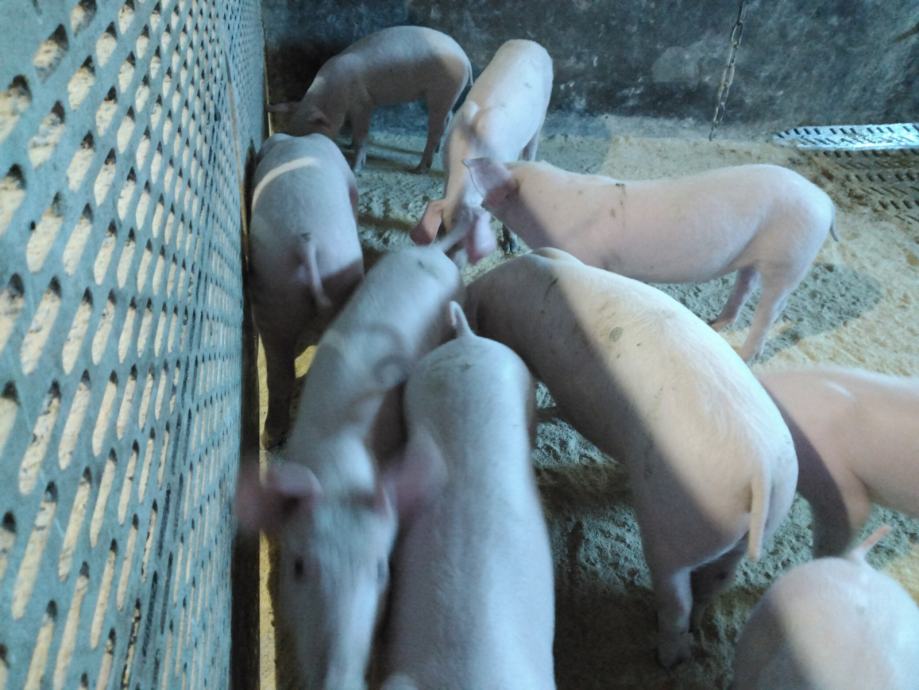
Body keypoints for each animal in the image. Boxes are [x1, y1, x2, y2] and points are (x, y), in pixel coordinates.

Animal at [268, 26, 472, 172]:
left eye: (312, 135)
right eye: (292, 131)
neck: (333, 96)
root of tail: (465, 58)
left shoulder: (363, 103)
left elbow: (362, 133)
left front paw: (355, 168)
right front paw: (349, 145)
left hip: (443, 90)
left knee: (435, 128)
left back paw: (419, 169)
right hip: (447, 94)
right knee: (448, 117)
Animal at [411, 39, 553, 263]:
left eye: (468, 241)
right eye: (447, 230)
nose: (451, 263)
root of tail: (529, 42)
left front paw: (511, 247)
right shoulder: (447, 166)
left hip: (541, 115)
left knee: (532, 148)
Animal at [463, 157, 837, 361]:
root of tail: (825, 201)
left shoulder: (588, 256)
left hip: (789, 257)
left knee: (771, 308)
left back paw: (744, 355)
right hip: (755, 256)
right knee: (745, 285)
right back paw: (715, 323)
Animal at [465, 248, 798, 668]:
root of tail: (760, 474)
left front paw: (546, 413)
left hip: (672, 530)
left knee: (676, 597)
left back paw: (668, 657)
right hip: (747, 532)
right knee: (714, 584)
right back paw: (696, 629)